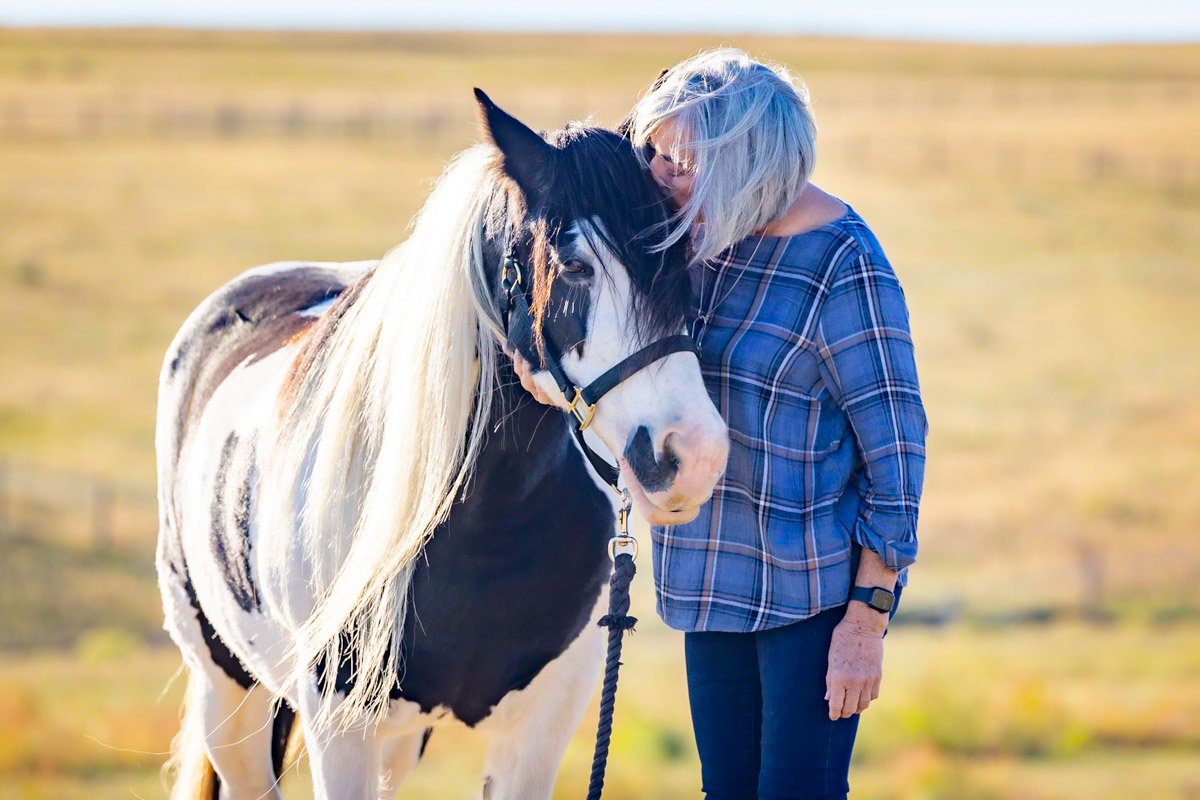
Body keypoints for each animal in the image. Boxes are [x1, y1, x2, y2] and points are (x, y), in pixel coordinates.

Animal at [155, 89, 730, 800]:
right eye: (574, 266)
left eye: (688, 265)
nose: (694, 455)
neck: (481, 526)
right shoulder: (340, 733)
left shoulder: (536, 733)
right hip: (226, 691)